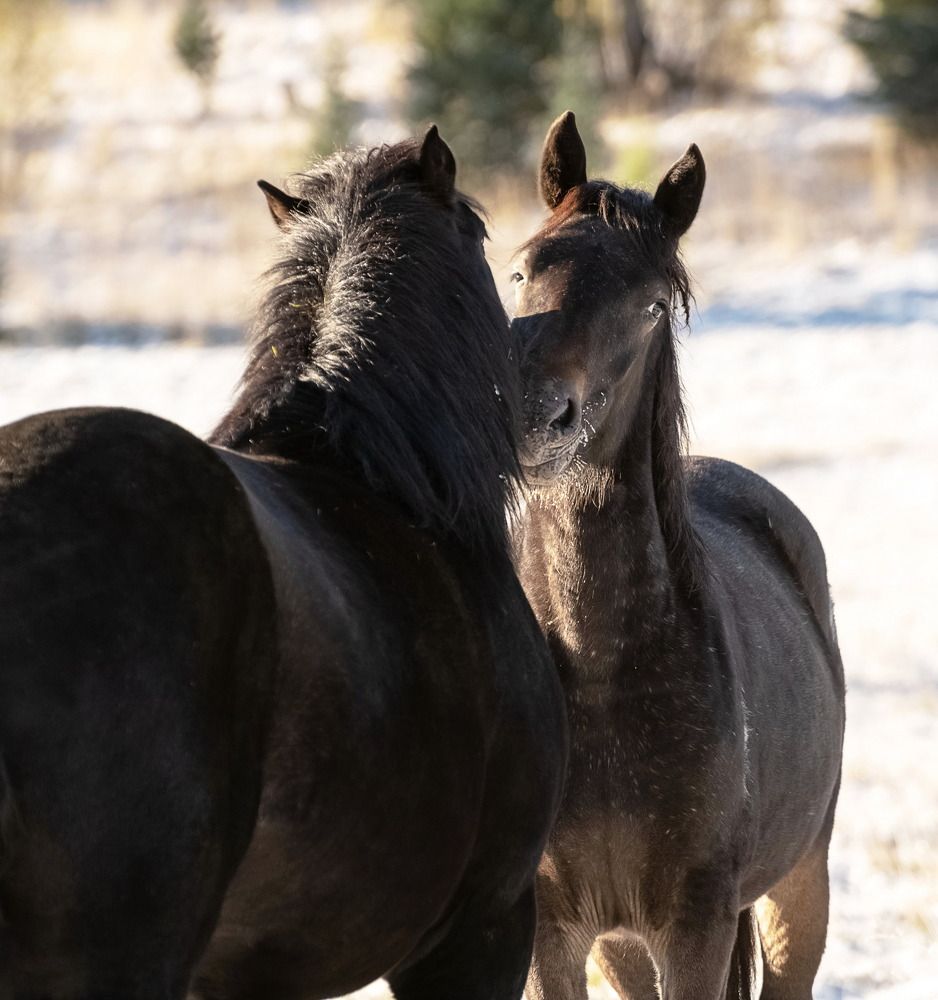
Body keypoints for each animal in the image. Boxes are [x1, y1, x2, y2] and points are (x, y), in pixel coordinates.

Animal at [509, 112, 845, 1000]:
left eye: (652, 304)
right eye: (521, 269)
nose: (533, 413)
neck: (600, 670)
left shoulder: (694, 925)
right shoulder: (552, 930)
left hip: (799, 884)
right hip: (622, 944)